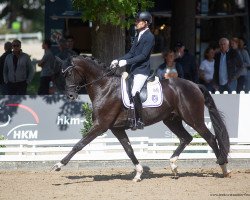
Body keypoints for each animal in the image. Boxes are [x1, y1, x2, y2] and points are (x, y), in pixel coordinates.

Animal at [51, 55, 231, 180]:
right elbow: (129, 149)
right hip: (172, 120)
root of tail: (194, 85)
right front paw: (138, 173)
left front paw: (58, 165)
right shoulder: (116, 128)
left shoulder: (101, 125)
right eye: (62, 74)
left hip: (193, 119)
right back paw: (173, 166)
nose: (70, 96)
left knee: (210, 138)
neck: (104, 86)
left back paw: (224, 168)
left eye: (69, 73)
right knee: (186, 138)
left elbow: (79, 145)